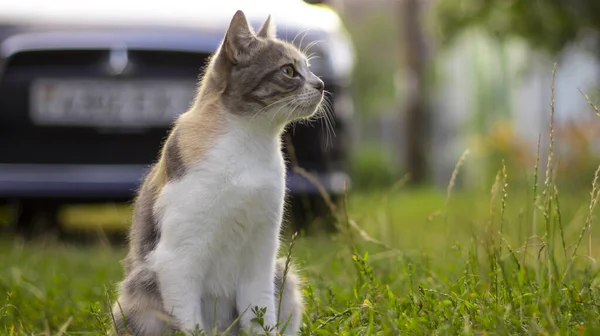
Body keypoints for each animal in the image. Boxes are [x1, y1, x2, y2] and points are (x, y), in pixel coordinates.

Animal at [112, 9, 326, 336]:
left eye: (309, 68)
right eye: (289, 71)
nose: (321, 84)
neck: (250, 144)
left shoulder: (261, 254)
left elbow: (260, 316)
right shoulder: (178, 260)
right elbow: (189, 323)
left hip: (283, 276)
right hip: (140, 290)